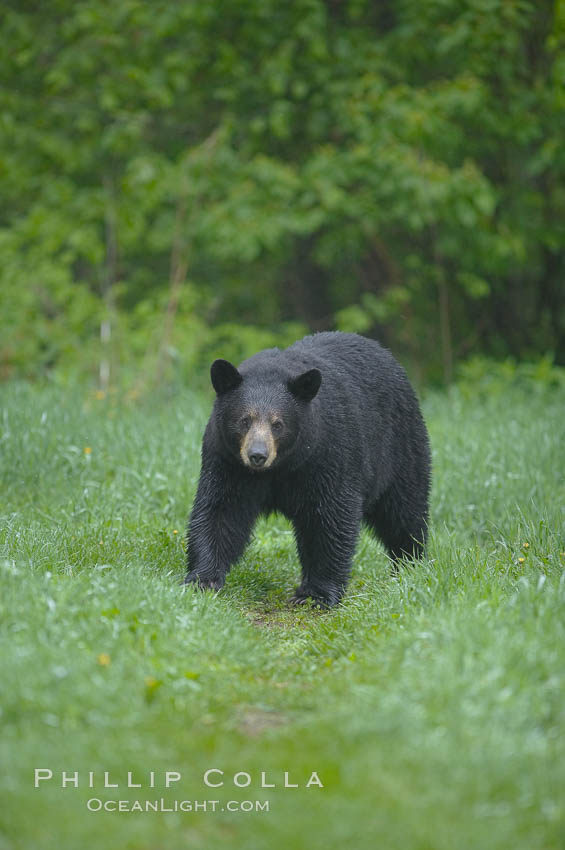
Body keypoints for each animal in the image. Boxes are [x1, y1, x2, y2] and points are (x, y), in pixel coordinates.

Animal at [184, 330, 428, 604]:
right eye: (244, 420)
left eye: (278, 424)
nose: (257, 455)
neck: (280, 467)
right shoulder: (227, 461)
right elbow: (221, 510)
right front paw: (202, 579)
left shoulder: (328, 455)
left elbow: (330, 518)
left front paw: (316, 595)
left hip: (401, 449)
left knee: (404, 511)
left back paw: (410, 565)